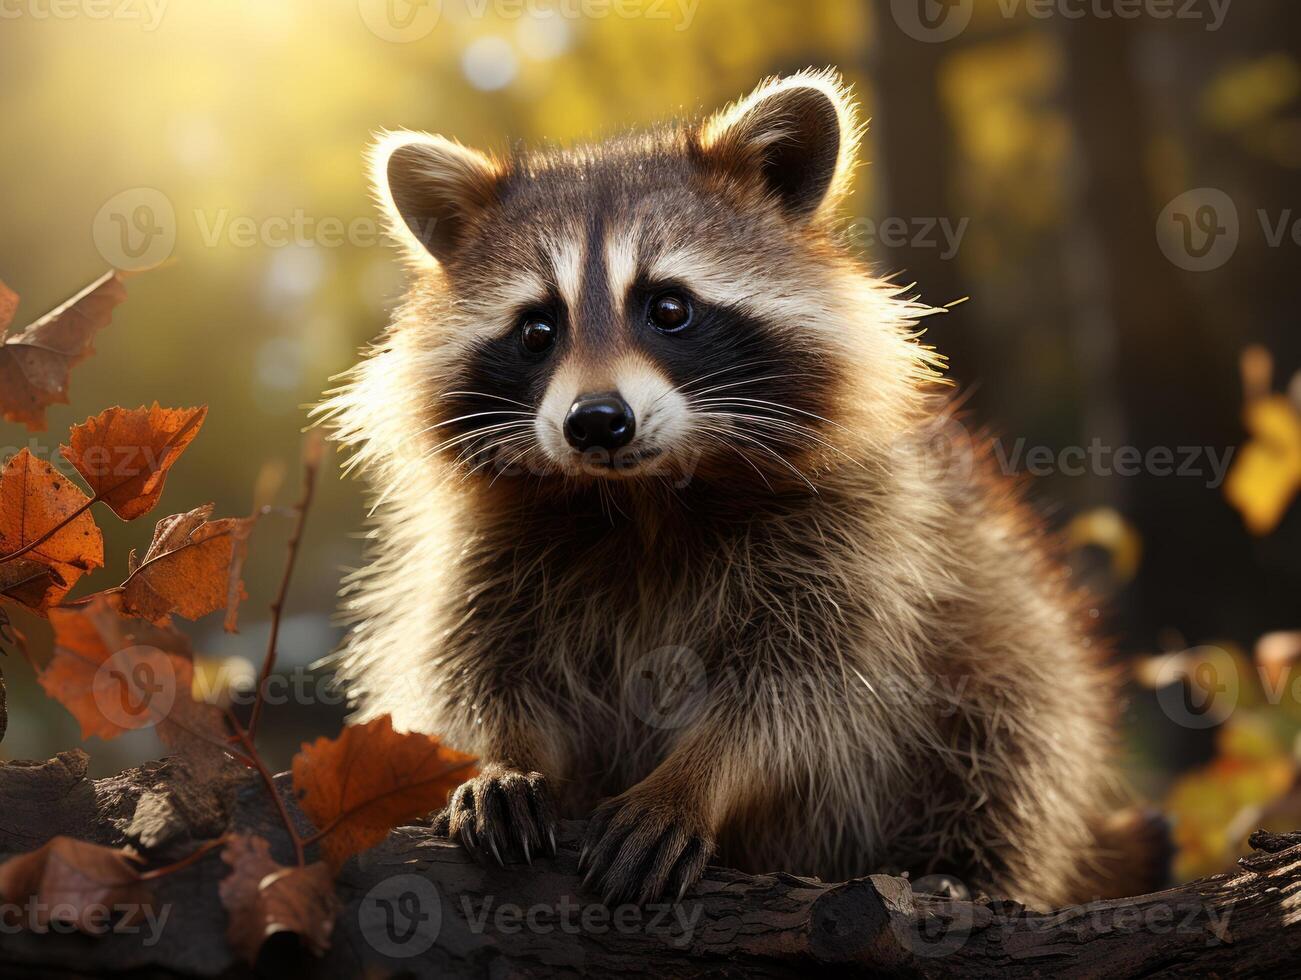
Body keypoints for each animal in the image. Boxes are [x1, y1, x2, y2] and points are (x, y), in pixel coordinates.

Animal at [317, 70, 1160, 911]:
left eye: (668, 307)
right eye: (535, 330)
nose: (596, 423)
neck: (645, 496)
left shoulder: (865, 533)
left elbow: (804, 695)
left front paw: (693, 780)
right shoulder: (484, 550)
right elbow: (479, 671)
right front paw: (501, 759)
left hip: (1004, 613)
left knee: (1015, 716)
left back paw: (961, 866)